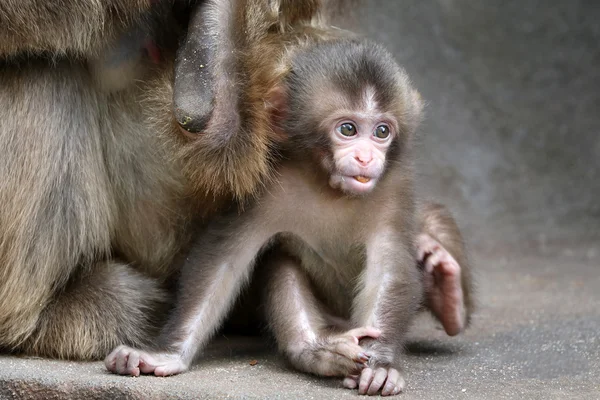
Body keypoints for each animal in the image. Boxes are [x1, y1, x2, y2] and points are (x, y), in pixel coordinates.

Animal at [108, 39, 472, 396]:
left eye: (382, 131)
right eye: (348, 129)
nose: (366, 158)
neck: (331, 188)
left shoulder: (395, 187)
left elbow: (390, 266)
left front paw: (381, 364)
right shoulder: (265, 184)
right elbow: (223, 260)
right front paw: (167, 353)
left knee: (433, 219)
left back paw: (447, 292)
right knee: (279, 257)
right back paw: (316, 352)